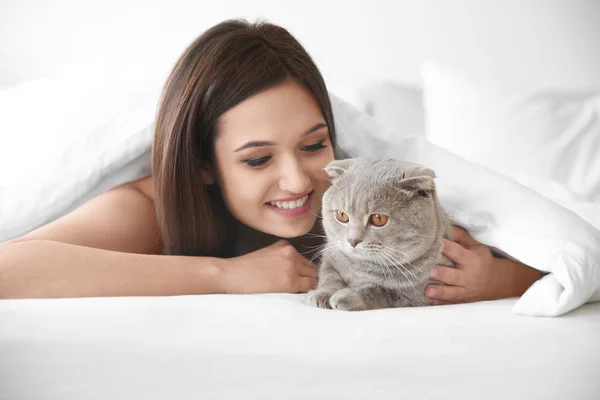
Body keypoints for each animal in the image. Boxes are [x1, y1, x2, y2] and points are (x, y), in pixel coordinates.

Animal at [304, 158, 454, 310]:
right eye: (342, 215)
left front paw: (346, 296)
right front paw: (322, 293)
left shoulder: (417, 296)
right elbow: (330, 276)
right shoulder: (330, 257)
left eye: (379, 218)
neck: (360, 267)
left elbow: (379, 291)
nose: (353, 240)